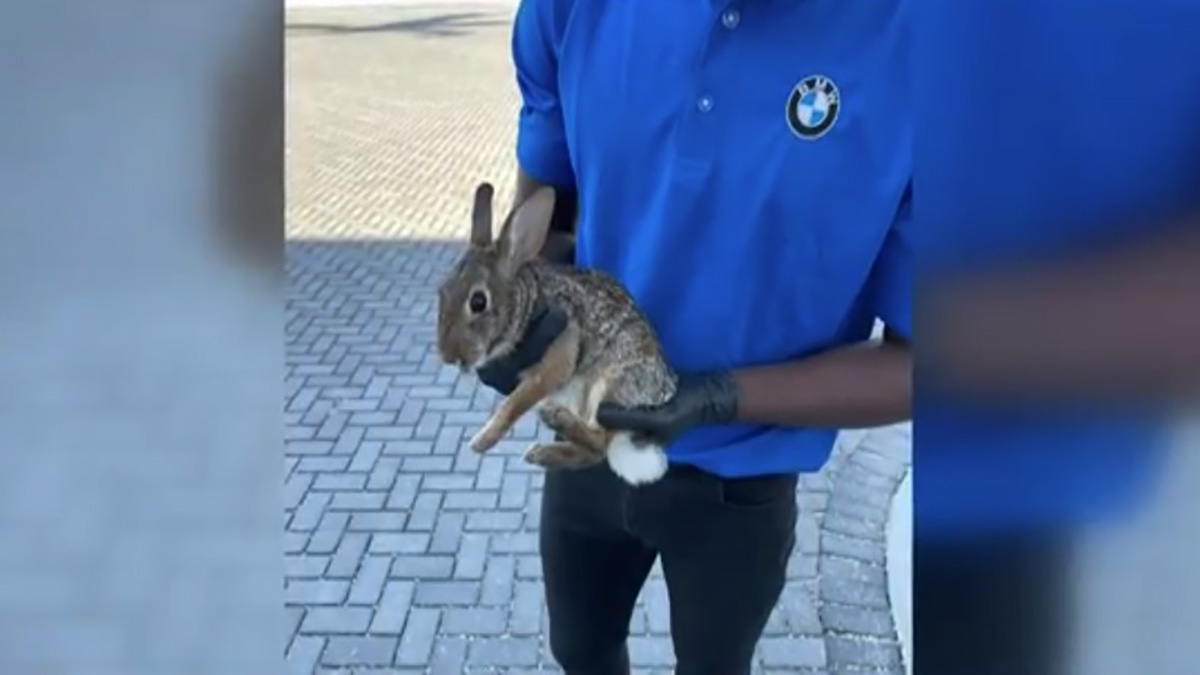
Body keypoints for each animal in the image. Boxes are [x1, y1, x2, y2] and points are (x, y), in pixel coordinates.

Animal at [435, 182, 678, 486]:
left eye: (478, 302)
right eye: (442, 291)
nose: (448, 356)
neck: (526, 305)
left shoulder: (553, 364)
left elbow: (514, 404)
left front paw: (482, 440)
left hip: (606, 386)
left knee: (600, 444)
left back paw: (555, 420)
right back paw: (542, 452)